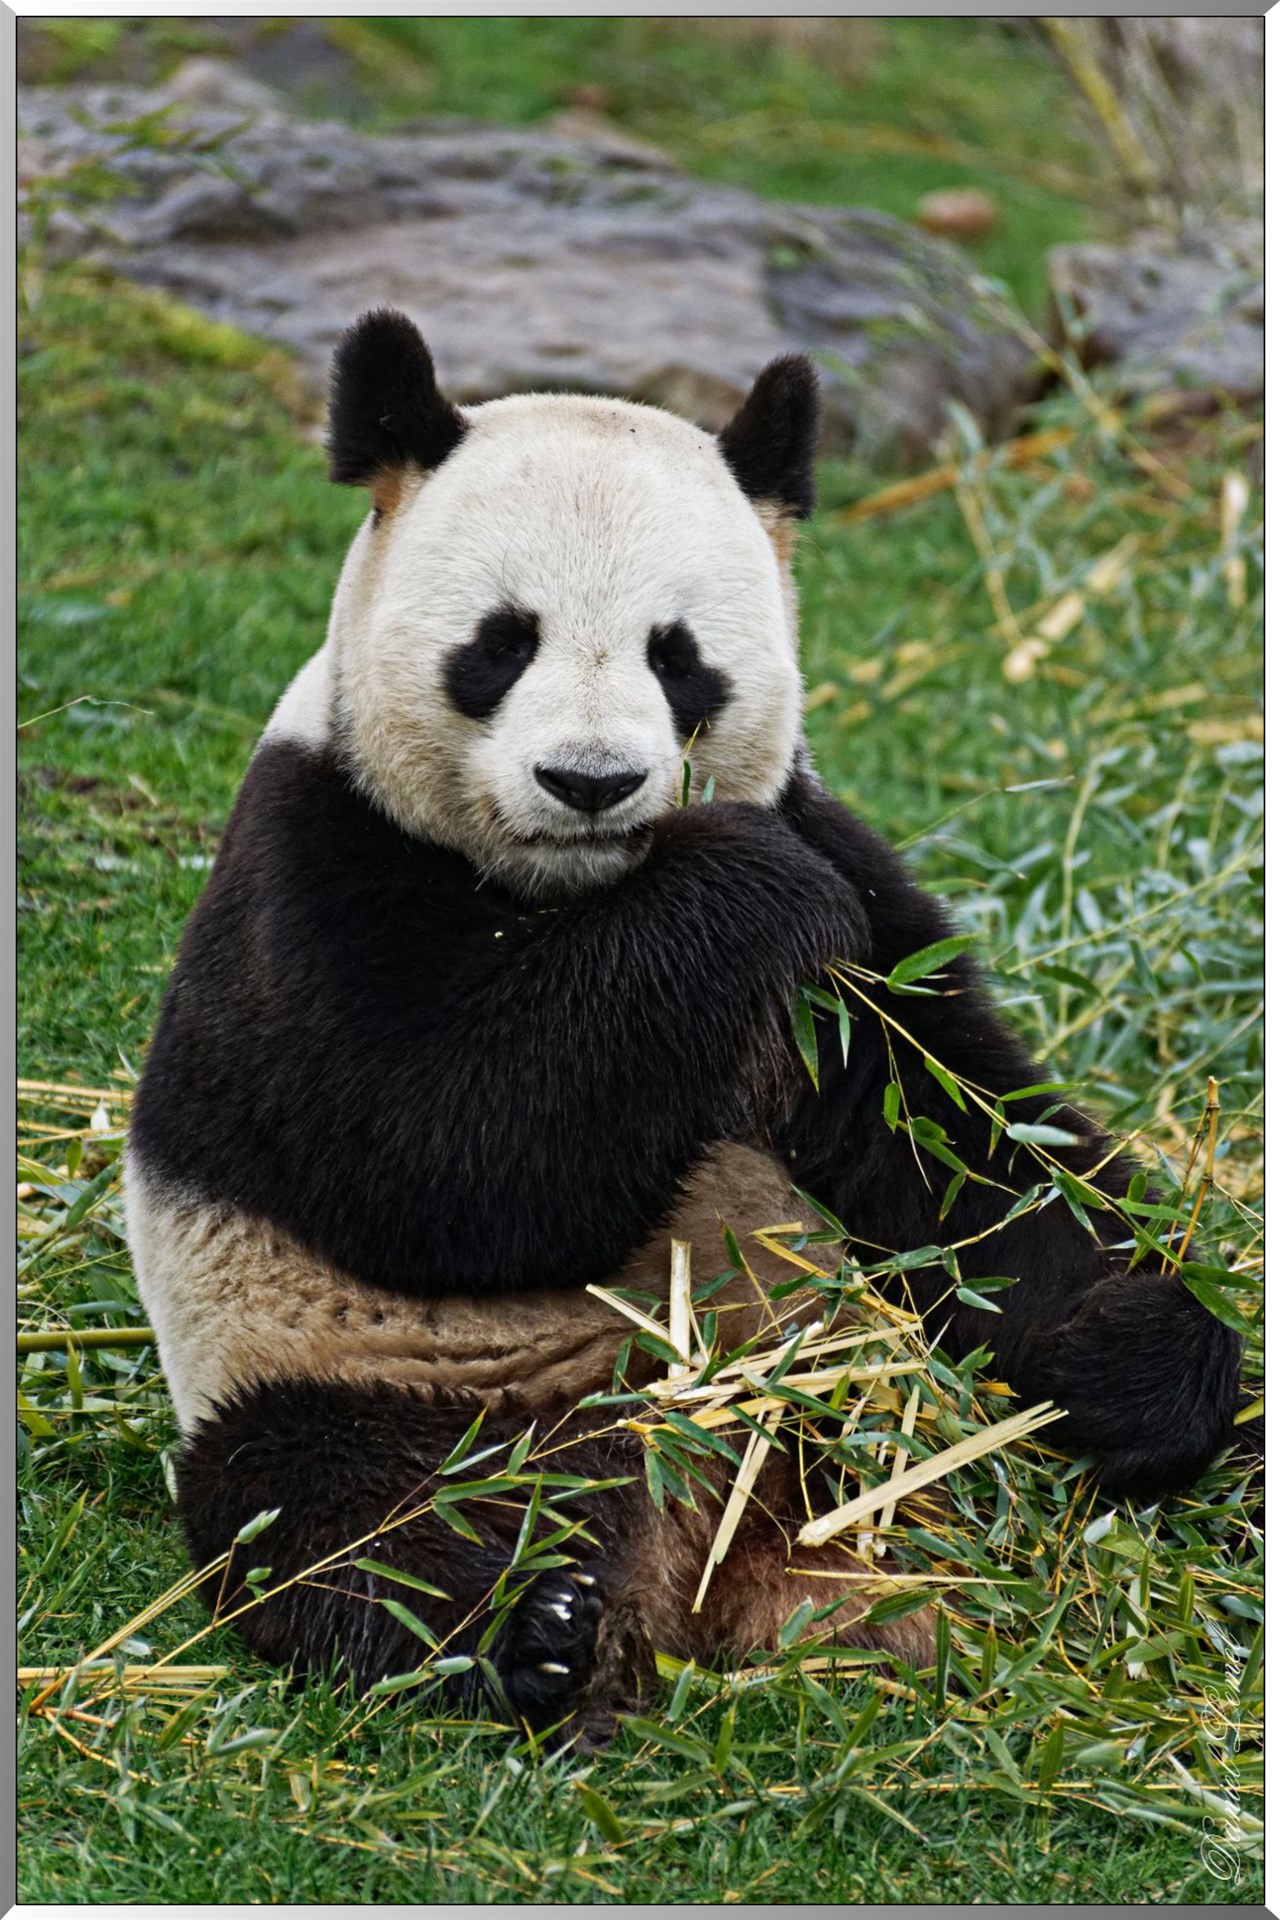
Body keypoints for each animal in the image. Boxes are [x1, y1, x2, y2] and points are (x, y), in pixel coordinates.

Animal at [126, 309, 1243, 1748]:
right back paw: (527, 1638)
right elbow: (435, 1156)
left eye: (678, 654)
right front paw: (739, 890)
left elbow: (959, 1142)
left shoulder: (849, 913)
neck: (583, 896)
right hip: (352, 1377)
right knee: (341, 1521)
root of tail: (689, 1559)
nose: (588, 782)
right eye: (502, 641)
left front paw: (1143, 1359)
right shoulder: (314, 867)